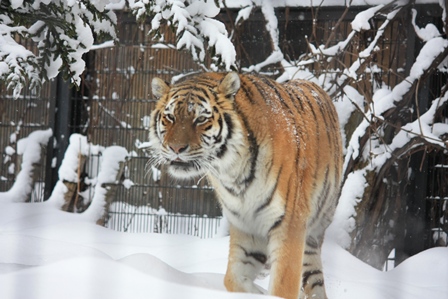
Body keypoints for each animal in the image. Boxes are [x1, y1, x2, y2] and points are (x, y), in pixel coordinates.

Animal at [149, 72, 342, 299]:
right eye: (170, 117)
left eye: (201, 119)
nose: (175, 148)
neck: (231, 172)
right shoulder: (247, 226)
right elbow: (232, 279)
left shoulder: (289, 226)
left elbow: (282, 287)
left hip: (314, 229)